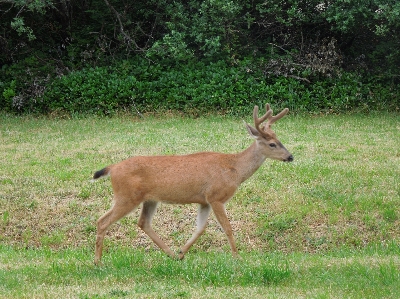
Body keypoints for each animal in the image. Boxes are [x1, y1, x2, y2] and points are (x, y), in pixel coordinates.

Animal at [93, 104, 294, 266]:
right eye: (272, 144)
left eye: (280, 140)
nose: (290, 156)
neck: (234, 170)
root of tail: (112, 168)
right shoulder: (216, 196)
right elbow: (227, 228)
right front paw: (237, 257)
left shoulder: (204, 200)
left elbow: (200, 228)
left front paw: (182, 252)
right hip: (126, 196)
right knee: (102, 221)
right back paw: (98, 262)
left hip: (149, 199)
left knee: (143, 223)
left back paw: (172, 254)